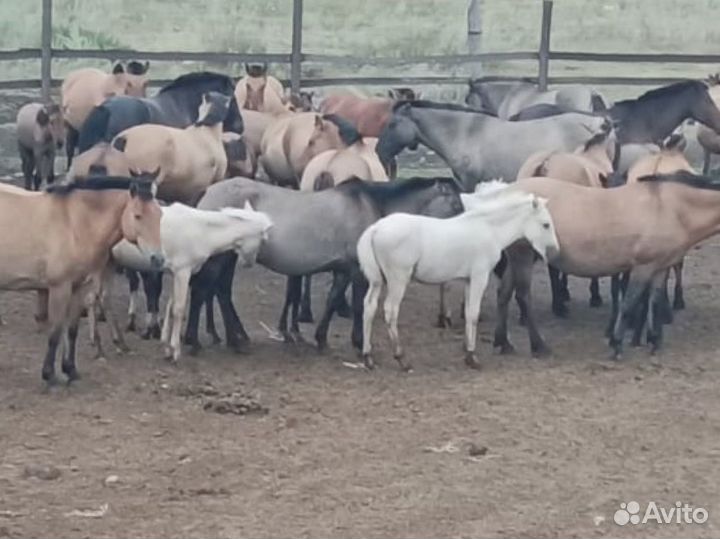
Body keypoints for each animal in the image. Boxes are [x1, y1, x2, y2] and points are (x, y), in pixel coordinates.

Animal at [0, 176, 162, 384]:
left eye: (160, 215)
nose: (158, 259)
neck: (74, 224)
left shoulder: (78, 288)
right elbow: (55, 332)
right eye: (137, 216)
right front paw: (49, 374)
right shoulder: (59, 288)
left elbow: (72, 330)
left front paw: (70, 370)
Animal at [102, 202, 272, 362]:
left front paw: (166, 348)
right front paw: (175, 351)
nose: (249, 263)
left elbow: (171, 308)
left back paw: (118, 343)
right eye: (263, 240)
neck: (202, 231)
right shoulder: (183, 272)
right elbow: (179, 309)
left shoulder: (175, 273)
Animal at [182, 176, 464, 356]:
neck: (371, 203)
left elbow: (332, 300)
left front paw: (321, 339)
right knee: (202, 291)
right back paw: (194, 341)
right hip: (219, 258)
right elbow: (359, 304)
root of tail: (208, 191)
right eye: (456, 204)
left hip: (228, 257)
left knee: (220, 292)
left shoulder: (342, 270)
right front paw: (358, 341)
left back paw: (234, 340)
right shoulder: (358, 270)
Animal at [359, 182, 558, 371]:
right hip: (398, 279)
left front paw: (466, 349)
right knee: (390, 311)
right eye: (546, 224)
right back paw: (402, 360)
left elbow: (468, 311)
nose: (554, 252)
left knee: (369, 307)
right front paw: (472, 357)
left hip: (378, 280)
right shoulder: (479, 277)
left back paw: (368, 357)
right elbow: (474, 313)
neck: (488, 229)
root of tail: (376, 228)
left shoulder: (469, 280)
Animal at [494, 171, 720, 359]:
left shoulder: (661, 267)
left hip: (518, 256)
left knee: (503, 293)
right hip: (523, 254)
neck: (670, 207)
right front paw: (616, 344)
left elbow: (654, 301)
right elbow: (629, 302)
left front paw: (654, 342)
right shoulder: (643, 266)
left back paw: (503, 343)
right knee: (523, 296)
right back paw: (539, 346)